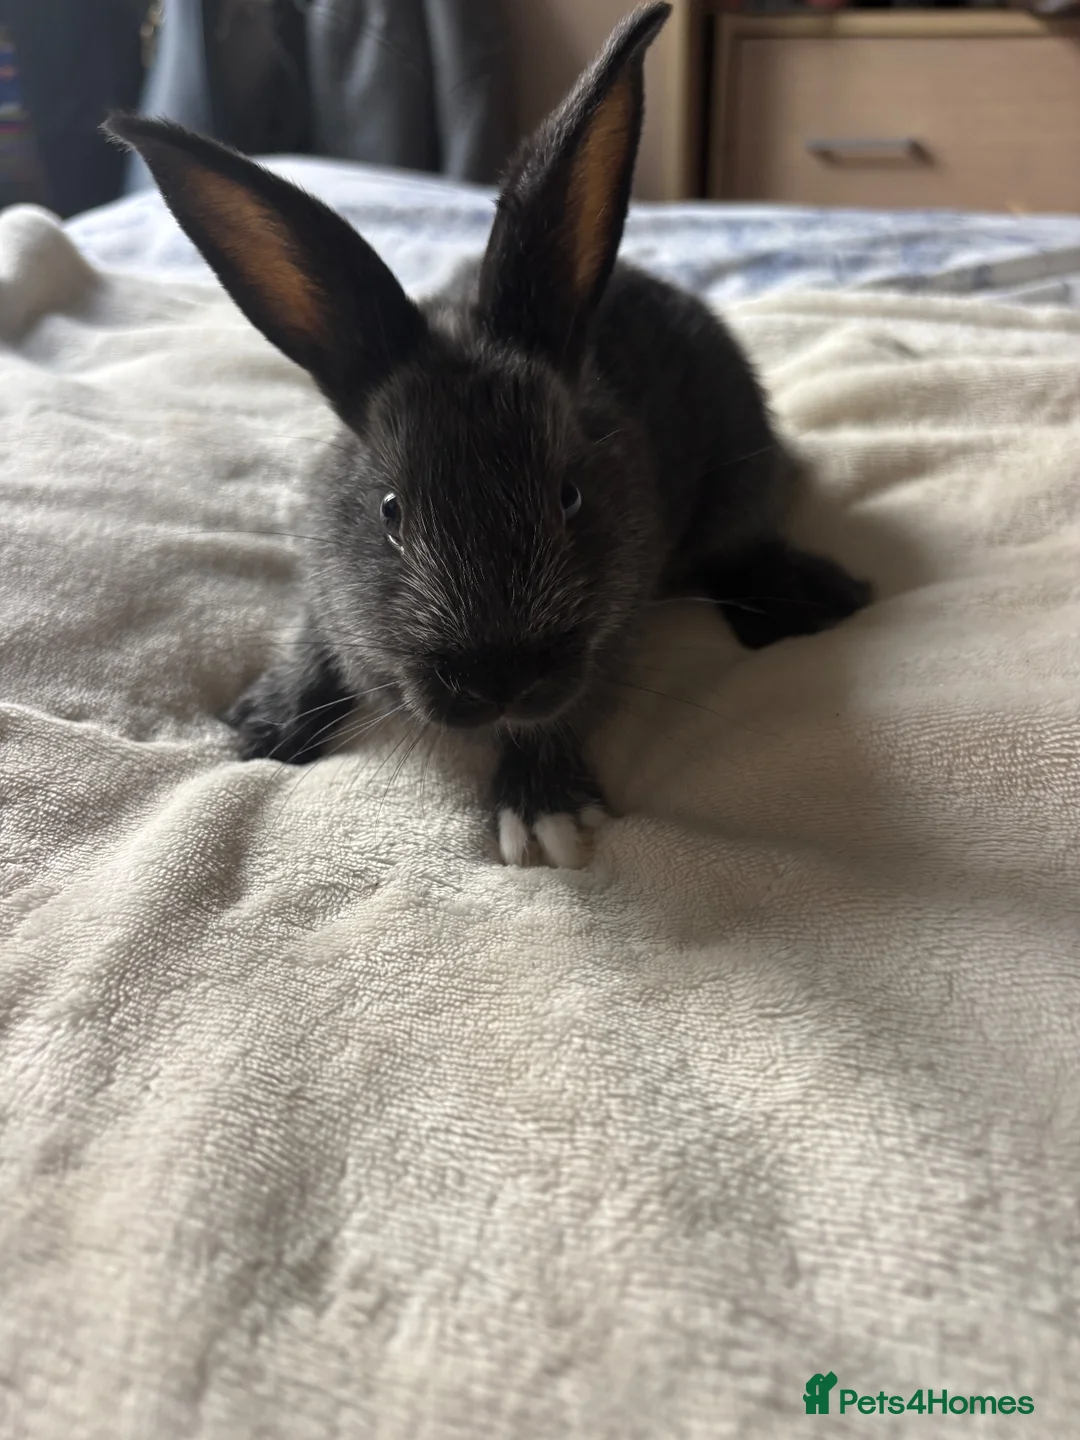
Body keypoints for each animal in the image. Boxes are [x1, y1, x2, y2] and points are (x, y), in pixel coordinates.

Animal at [106, 1, 870, 869]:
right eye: (390, 511)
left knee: (743, 545)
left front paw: (542, 811)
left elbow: (561, 713)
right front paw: (264, 726)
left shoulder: (607, 638)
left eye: (569, 496)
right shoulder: (325, 588)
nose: (496, 680)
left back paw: (808, 604)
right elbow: (315, 640)